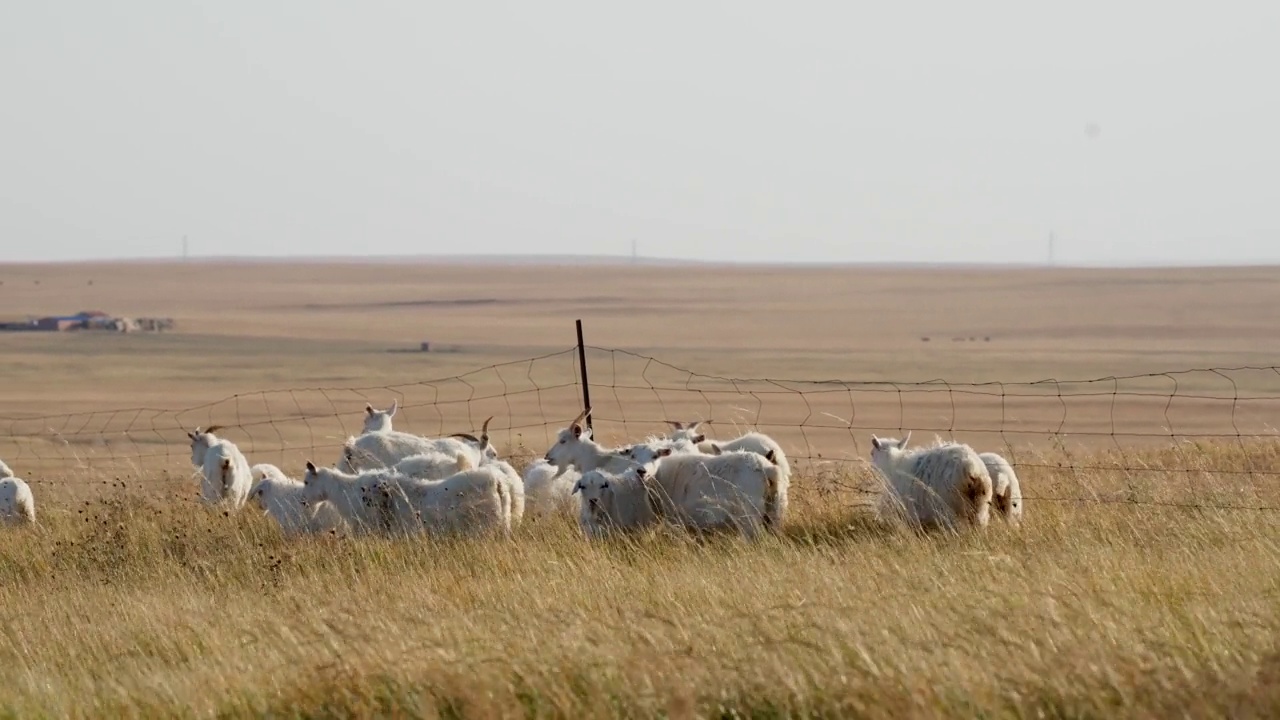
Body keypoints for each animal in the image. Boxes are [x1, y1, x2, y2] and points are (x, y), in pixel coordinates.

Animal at [627, 445, 778, 535]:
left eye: (655, 456)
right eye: (632, 456)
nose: (641, 471)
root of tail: (765, 467)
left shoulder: (677, 521)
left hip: (749, 516)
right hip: (774, 511)